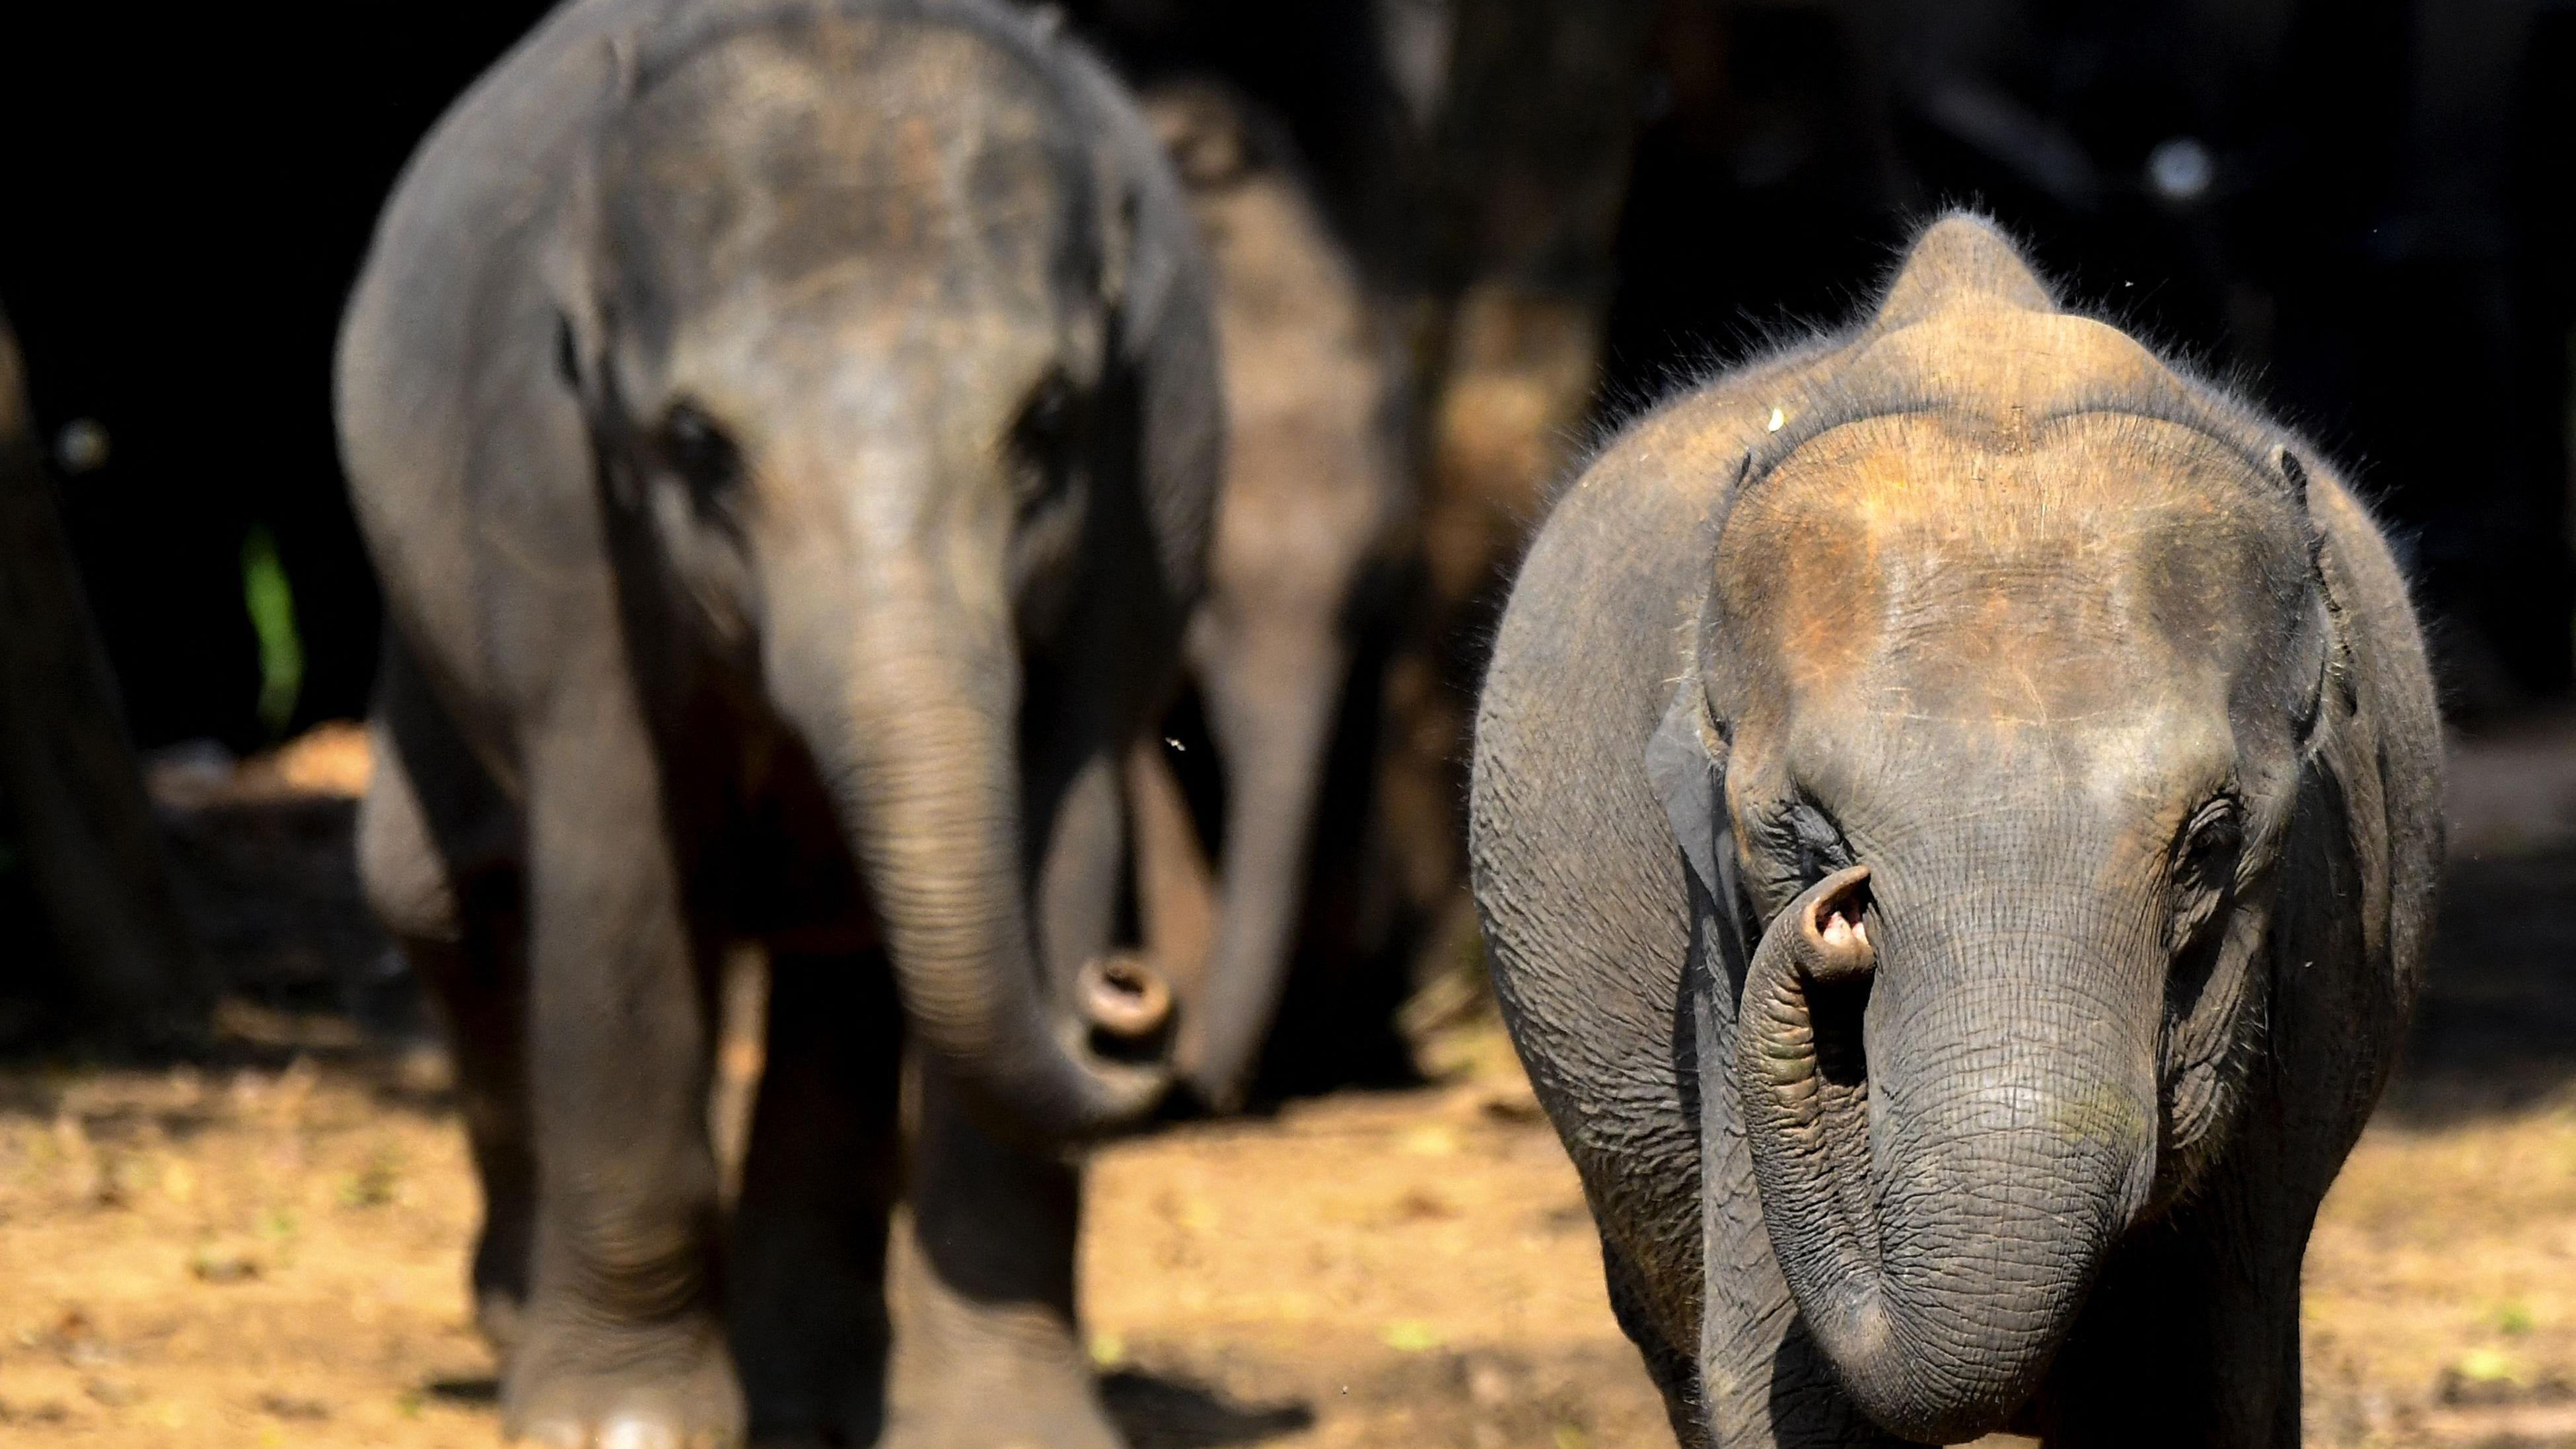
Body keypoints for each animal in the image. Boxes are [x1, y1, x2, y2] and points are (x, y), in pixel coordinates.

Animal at [337, 5, 1221, 1441]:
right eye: (698, 443)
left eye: (1047, 420)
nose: (1130, 995)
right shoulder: (550, 494)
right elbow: (620, 873)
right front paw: (619, 1427)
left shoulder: (1150, 491)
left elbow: (1061, 835)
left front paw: (1007, 1431)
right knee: (436, 887)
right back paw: (524, 1321)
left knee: (840, 955)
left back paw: (811, 1385)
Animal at [1473, 219, 2431, 1449]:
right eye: (1816, 842)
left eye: (2211, 841)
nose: (1831, 922)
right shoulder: (1715, 941)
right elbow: (1789, 1394)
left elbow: (2189, 1391)